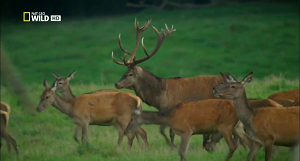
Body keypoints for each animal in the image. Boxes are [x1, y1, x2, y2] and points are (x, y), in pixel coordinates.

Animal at [124, 99, 253, 161]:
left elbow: (181, 152)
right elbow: (181, 152)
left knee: (233, 146)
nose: (125, 132)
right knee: (249, 142)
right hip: (237, 127)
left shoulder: (186, 130)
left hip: (225, 126)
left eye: (131, 119)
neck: (170, 117)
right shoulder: (186, 133)